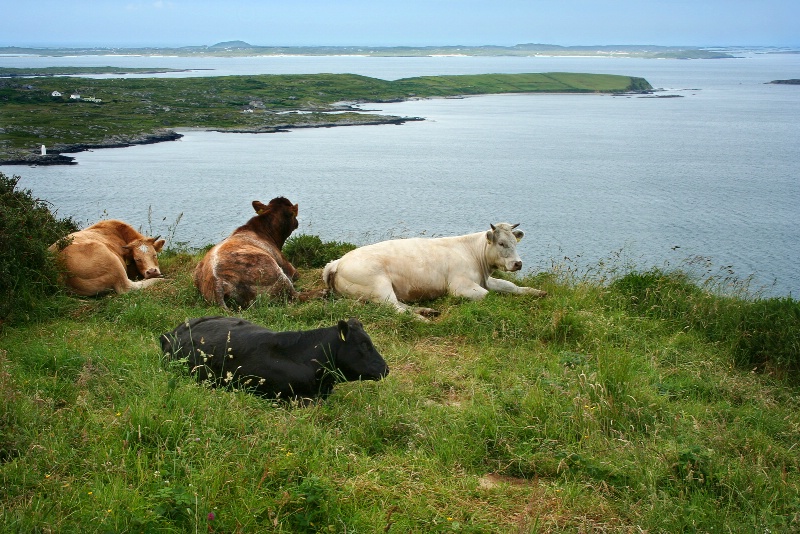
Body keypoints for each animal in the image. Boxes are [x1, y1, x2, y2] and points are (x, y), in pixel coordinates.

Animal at [322, 222, 548, 318]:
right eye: (501, 243)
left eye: (515, 242)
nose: (518, 263)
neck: (473, 254)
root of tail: (337, 261)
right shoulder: (460, 286)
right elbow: (488, 296)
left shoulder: (486, 280)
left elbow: (510, 286)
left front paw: (537, 292)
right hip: (379, 285)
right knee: (395, 308)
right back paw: (422, 318)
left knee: (400, 305)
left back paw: (428, 311)